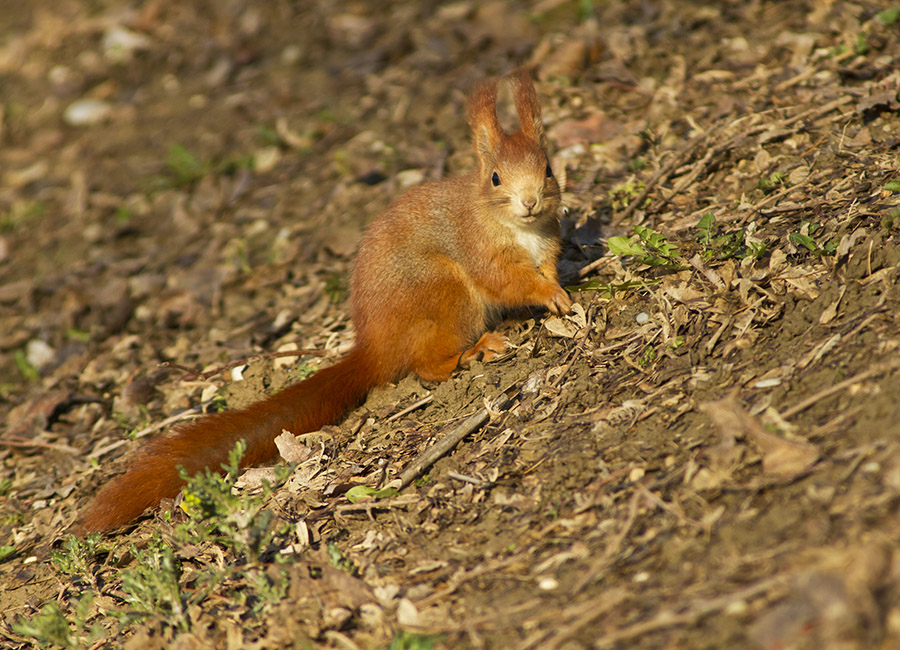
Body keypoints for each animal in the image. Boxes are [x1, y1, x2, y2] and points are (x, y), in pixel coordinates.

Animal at [75, 68, 568, 532]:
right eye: (496, 178)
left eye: (548, 169)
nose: (529, 201)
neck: (519, 229)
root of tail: (375, 349)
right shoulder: (479, 251)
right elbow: (508, 282)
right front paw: (550, 295)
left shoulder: (546, 244)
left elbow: (548, 267)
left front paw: (561, 288)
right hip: (443, 293)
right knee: (427, 366)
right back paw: (476, 350)